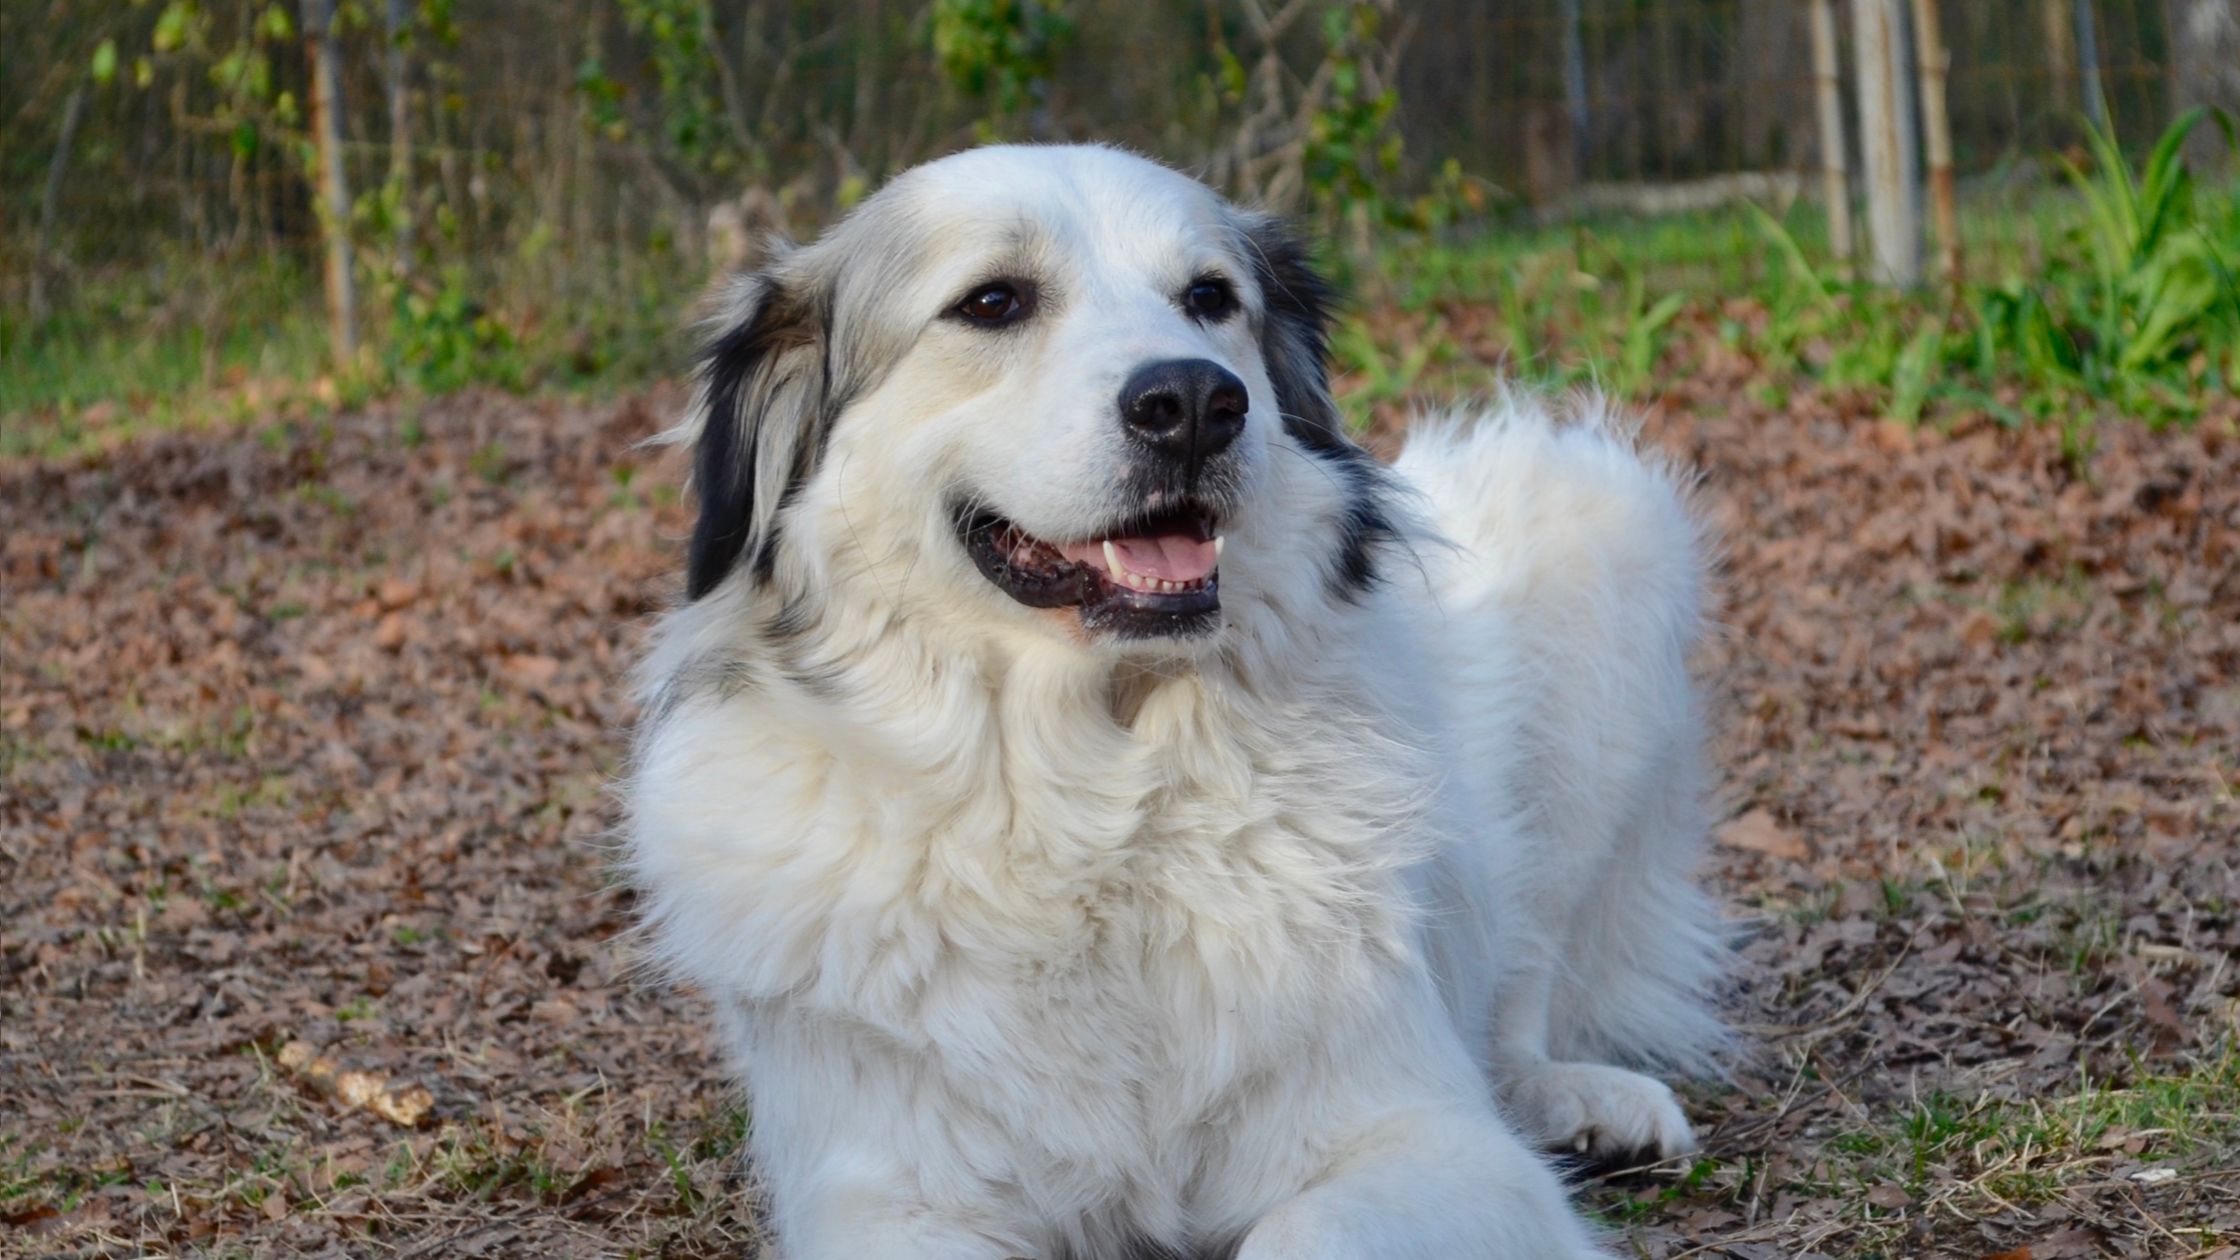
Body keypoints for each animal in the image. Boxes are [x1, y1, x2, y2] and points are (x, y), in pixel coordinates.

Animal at [631, 142, 1729, 1246]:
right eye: (992, 302)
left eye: (1208, 298)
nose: (1197, 402)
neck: (1096, 800)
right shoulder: (884, 1198)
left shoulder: (1438, 1146)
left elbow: (1301, 1229)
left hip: (1601, 531)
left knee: (1519, 992)